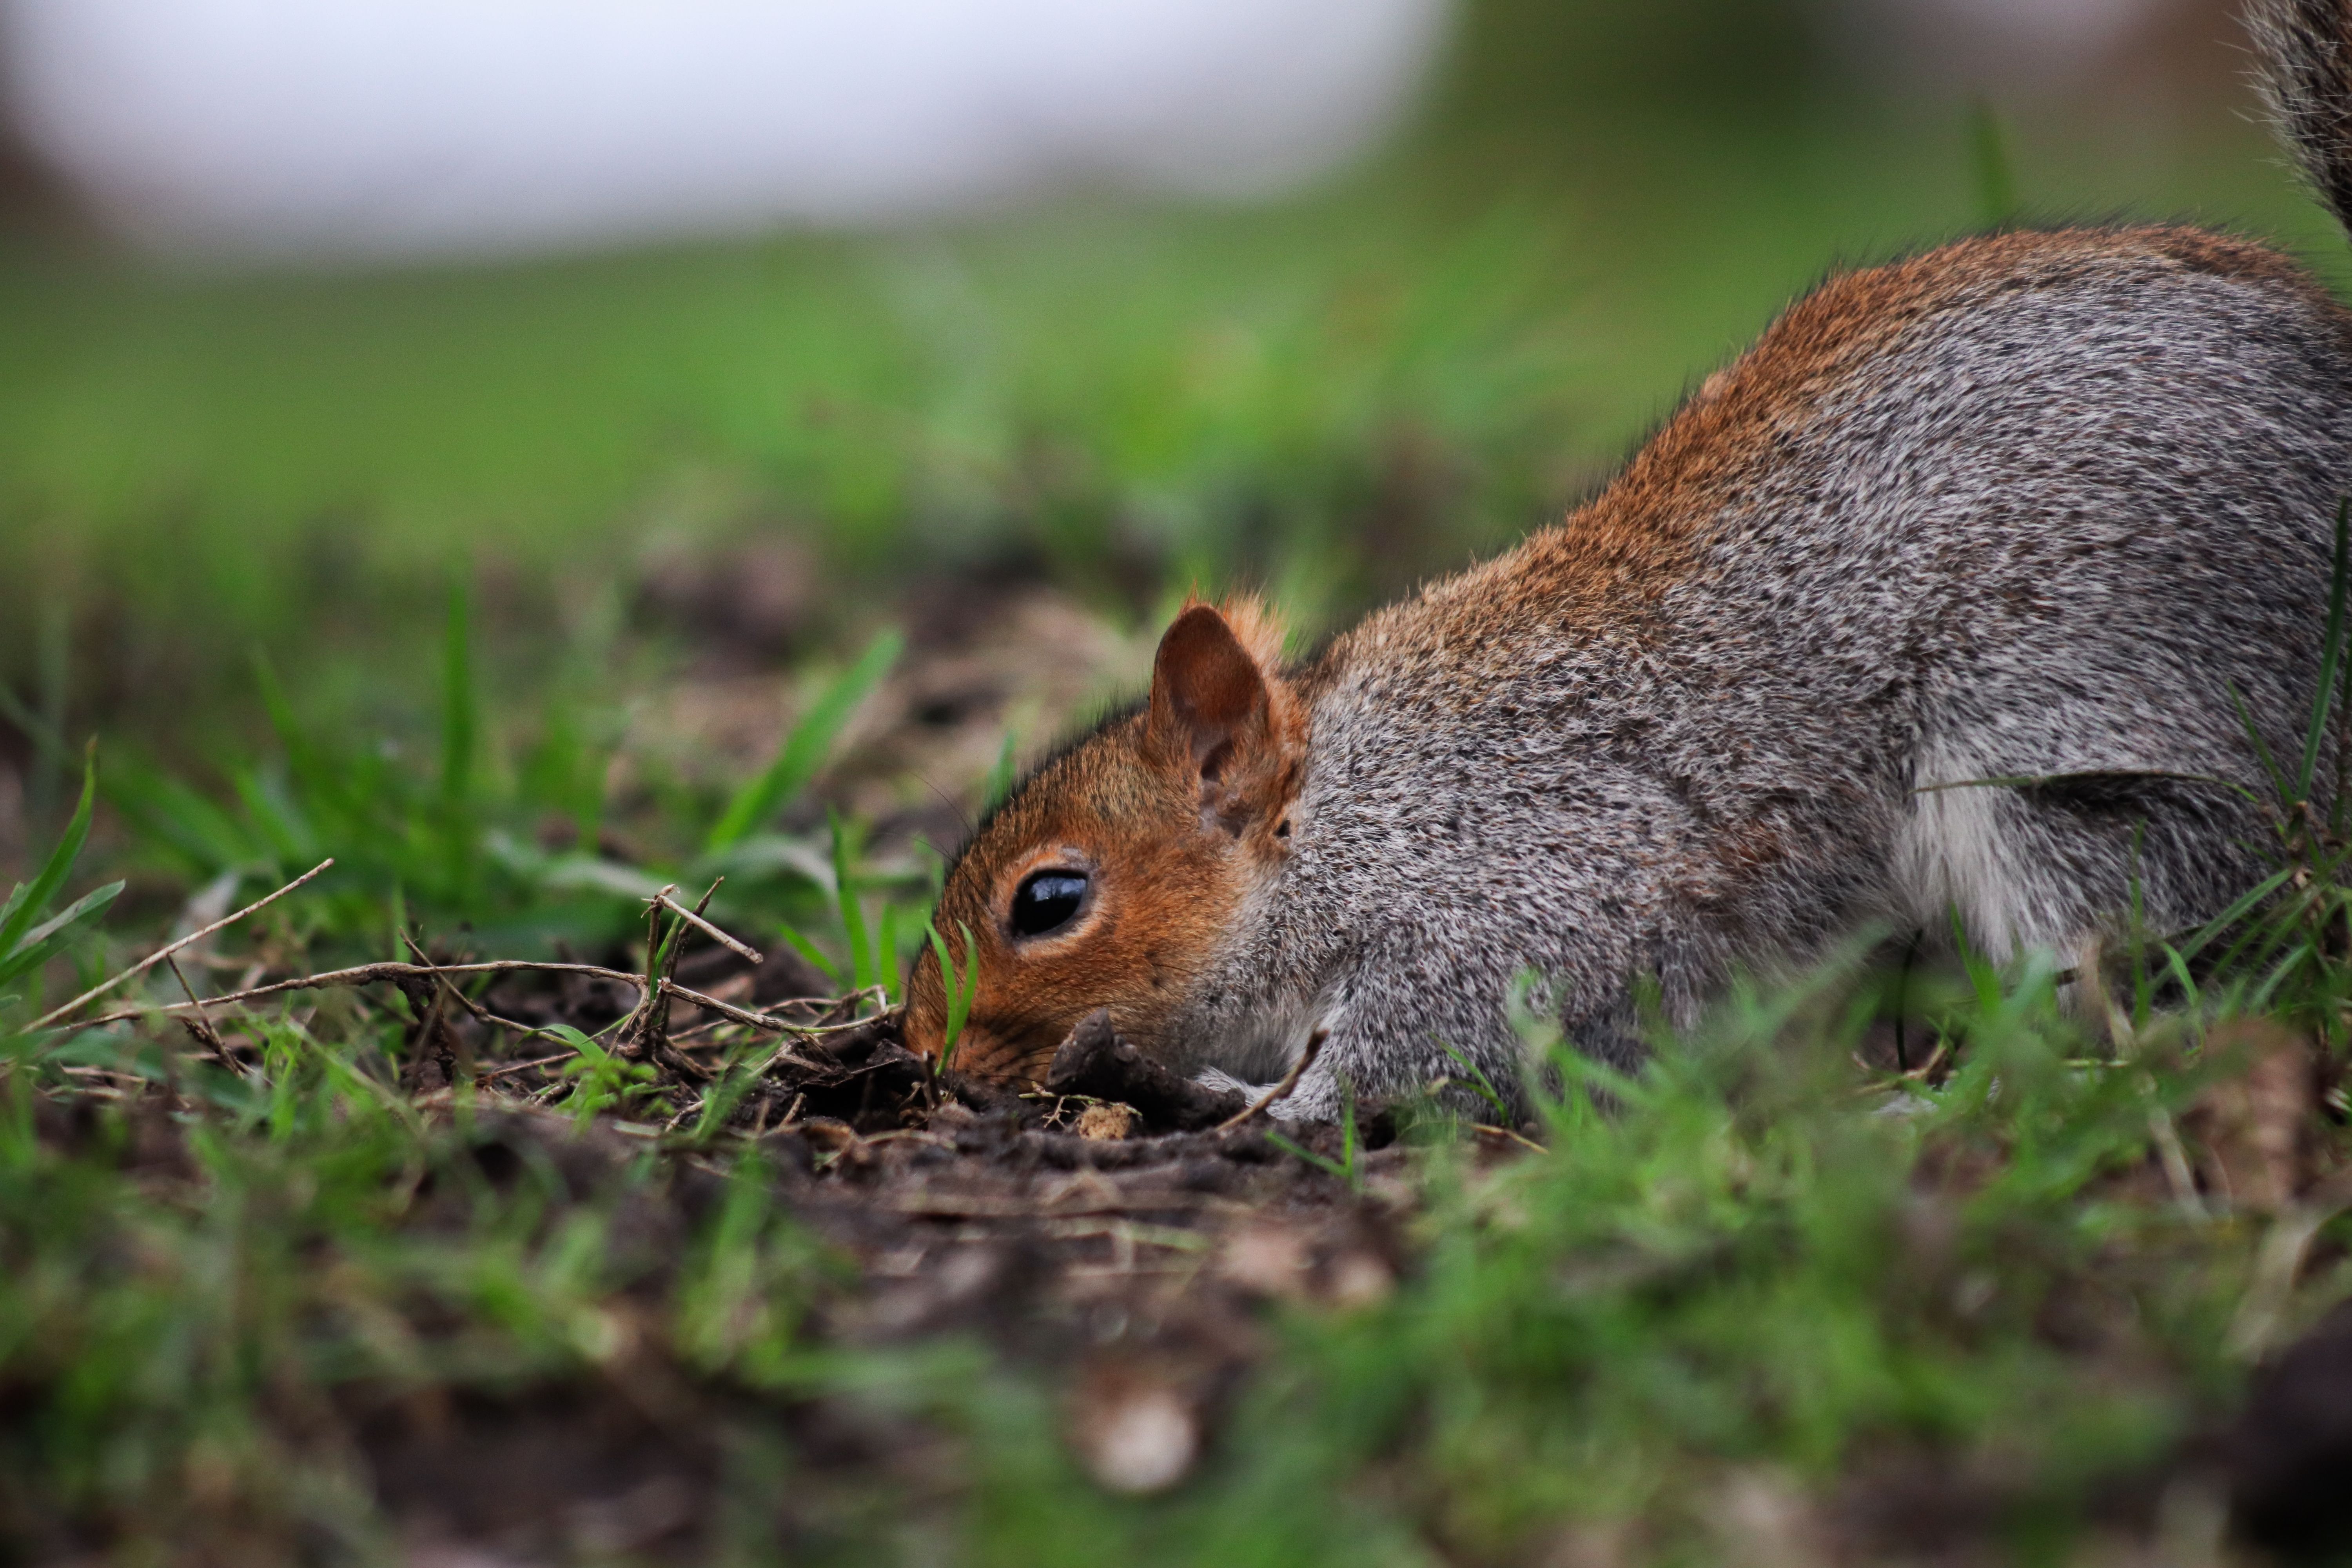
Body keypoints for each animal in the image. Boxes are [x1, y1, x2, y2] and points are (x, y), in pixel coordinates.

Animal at [906, 0, 2352, 1120]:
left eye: (1049, 901)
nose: (926, 1049)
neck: (1339, 814)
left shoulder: (1524, 881)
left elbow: (1435, 1037)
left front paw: (1259, 1101)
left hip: (2086, 746)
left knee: (2143, 942)